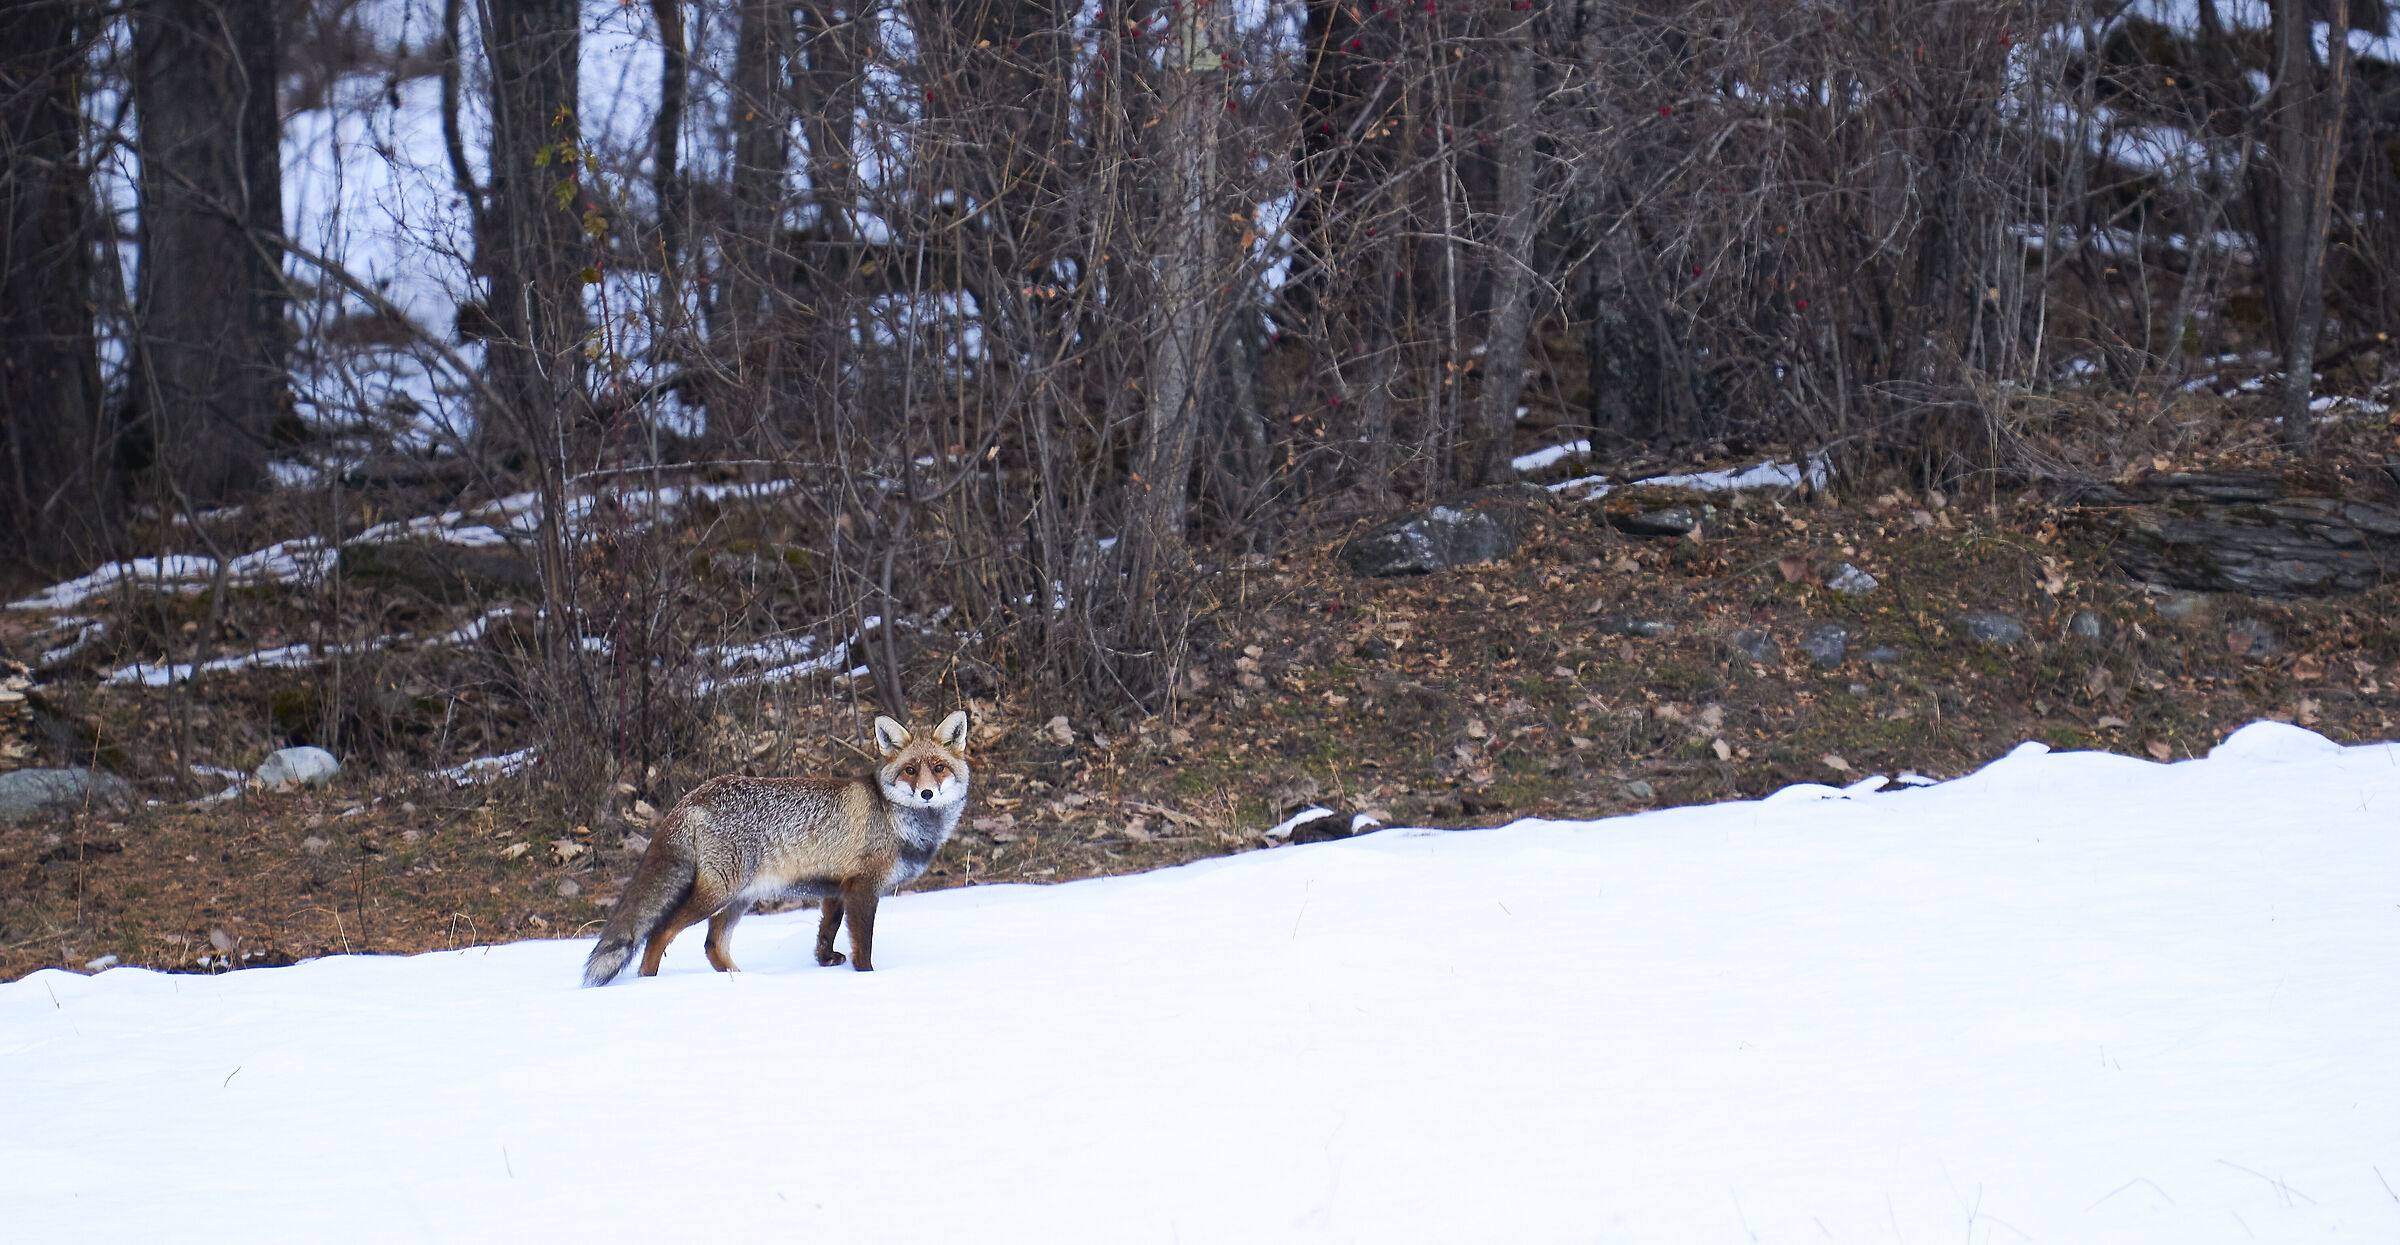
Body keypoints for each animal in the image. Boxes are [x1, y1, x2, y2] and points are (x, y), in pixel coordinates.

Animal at [580, 709, 972, 987]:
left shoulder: (836, 889)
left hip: (739, 899)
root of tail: (693, 795)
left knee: (712, 946)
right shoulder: (863, 887)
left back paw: (743, 981)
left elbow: (826, 933)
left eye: (938, 768)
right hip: (719, 893)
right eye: (910, 770)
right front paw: (867, 979)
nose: (927, 793)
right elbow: (864, 947)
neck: (894, 817)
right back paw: (649, 986)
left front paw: (825, 962)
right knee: (660, 932)